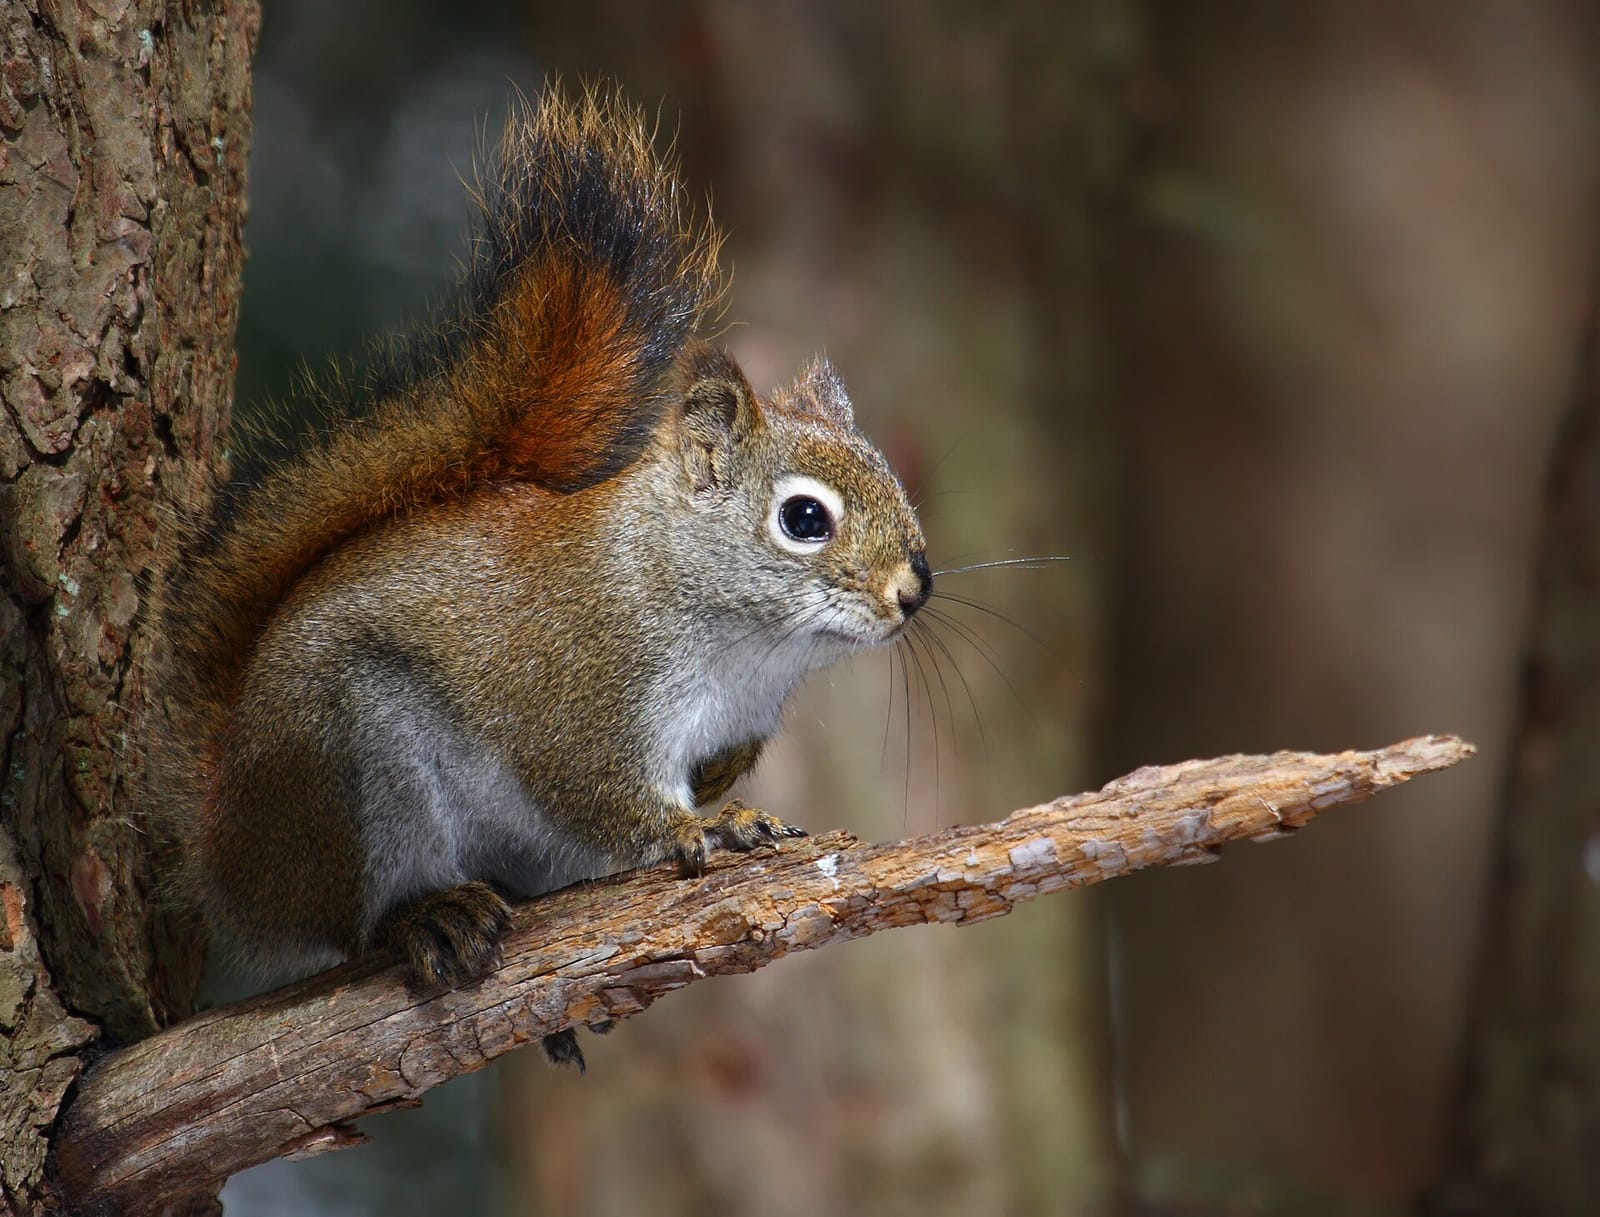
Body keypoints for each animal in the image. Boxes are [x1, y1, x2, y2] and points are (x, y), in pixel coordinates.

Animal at [155, 88, 930, 1066]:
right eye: (803, 519)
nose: (914, 590)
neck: (741, 641)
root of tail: (227, 847)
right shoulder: (584, 689)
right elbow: (598, 790)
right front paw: (706, 824)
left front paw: (728, 788)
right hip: (353, 767)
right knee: (353, 921)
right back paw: (428, 916)